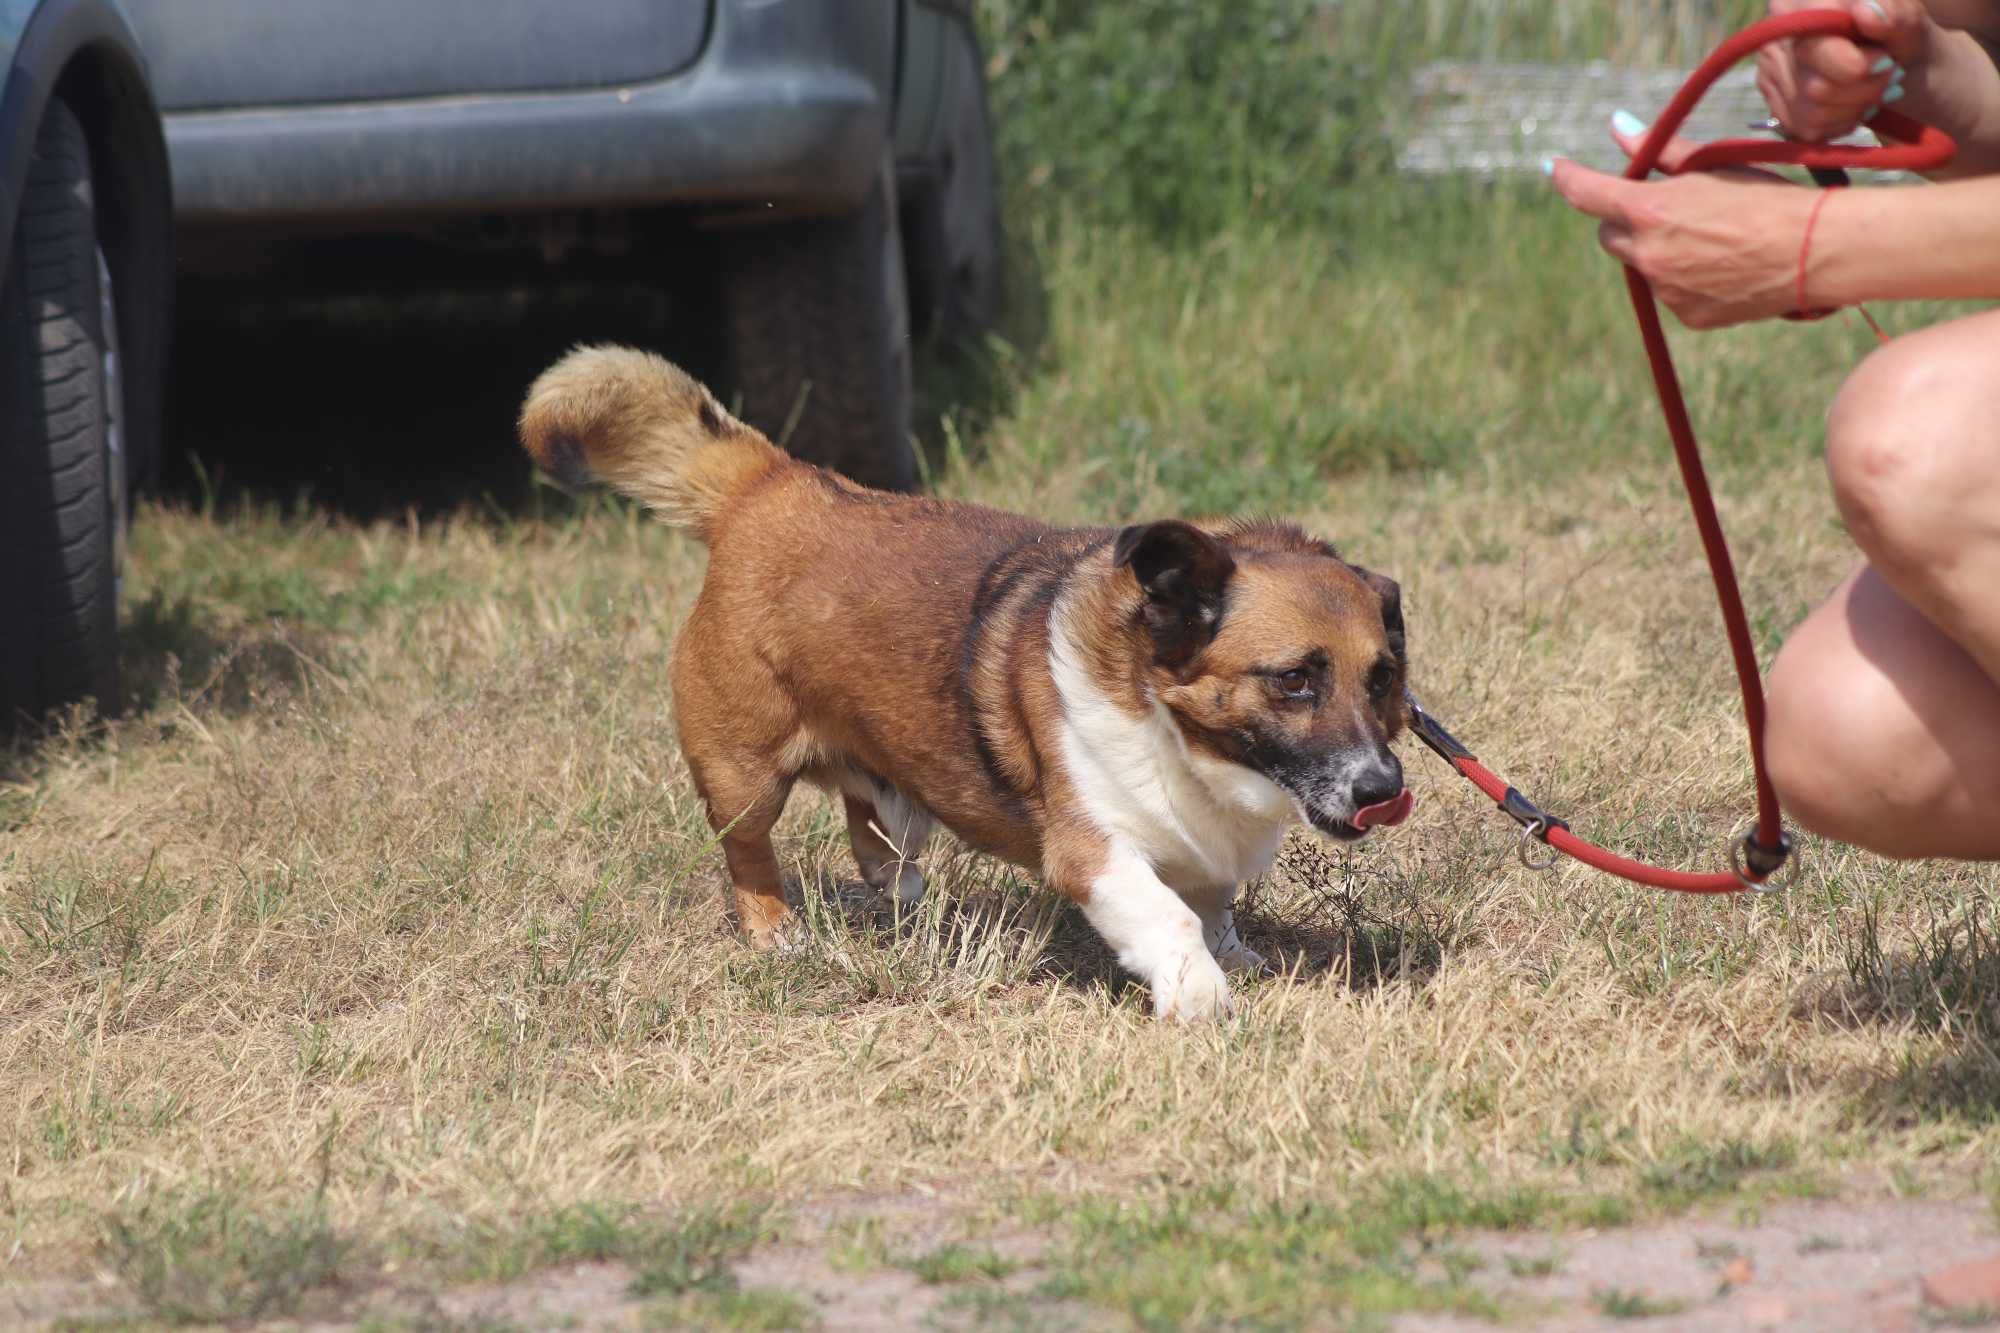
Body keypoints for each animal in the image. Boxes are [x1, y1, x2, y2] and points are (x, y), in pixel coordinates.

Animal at [524, 344, 1416, 1016]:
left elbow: (1213, 906)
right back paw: (776, 931)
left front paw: (1239, 958)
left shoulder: (1205, 853)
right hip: (744, 774)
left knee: (875, 832)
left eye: (1382, 679)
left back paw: (896, 894)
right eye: (1294, 678)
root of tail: (770, 484)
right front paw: (1199, 993)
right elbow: (1166, 916)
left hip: (892, 788)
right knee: (748, 852)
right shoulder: (1094, 850)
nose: (1382, 788)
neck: (1174, 729)